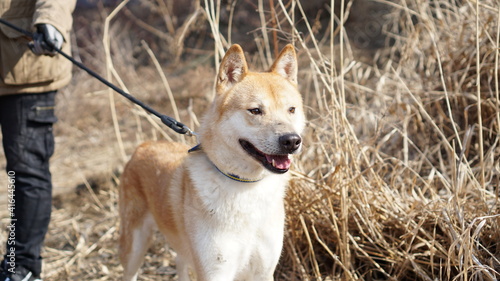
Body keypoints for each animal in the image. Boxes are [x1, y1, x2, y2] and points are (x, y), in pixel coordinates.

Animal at [119, 43, 306, 280]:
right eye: (255, 110)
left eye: (291, 109)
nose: (291, 141)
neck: (245, 187)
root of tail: (143, 145)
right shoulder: (215, 271)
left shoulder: (263, 271)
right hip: (134, 247)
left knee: (180, 261)